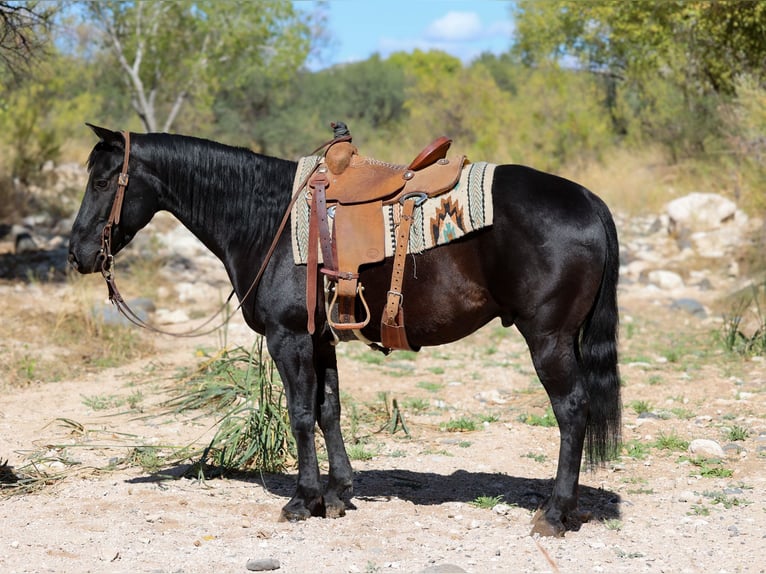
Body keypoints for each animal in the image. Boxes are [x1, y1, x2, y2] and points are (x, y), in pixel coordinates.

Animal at [67, 126, 624, 540]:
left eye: (103, 181)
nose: (77, 253)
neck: (265, 216)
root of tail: (589, 199)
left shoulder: (289, 337)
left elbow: (299, 414)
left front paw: (303, 499)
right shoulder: (320, 339)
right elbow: (328, 410)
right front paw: (337, 493)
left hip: (548, 339)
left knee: (572, 410)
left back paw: (555, 513)